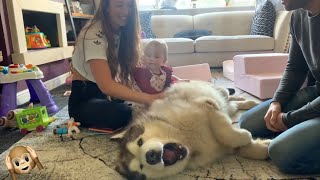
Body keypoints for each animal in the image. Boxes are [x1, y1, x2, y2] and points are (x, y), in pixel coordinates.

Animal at [112, 81, 270, 179]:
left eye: (140, 142)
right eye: (141, 166)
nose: (150, 156)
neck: (186, 139)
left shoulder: (206, 106)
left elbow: (225, 132)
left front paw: (246, 135)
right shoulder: (222, 147)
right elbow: (242, 148)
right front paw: (264, 147)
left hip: (215, 90)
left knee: (228, 95)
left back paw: (250, 102)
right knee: (232, 105)